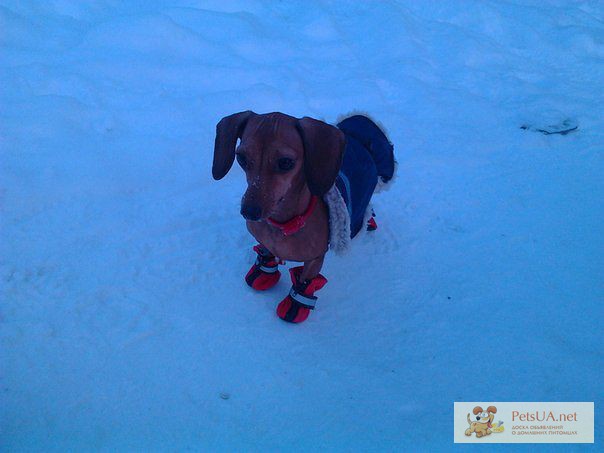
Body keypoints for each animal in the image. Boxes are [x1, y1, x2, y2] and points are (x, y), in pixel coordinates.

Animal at [214, 110, 396, 322]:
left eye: (285, 162)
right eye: (241, 158)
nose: (249, 212)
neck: (285, 225)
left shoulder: (315, 259)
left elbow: (304, 282)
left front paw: (294, 306)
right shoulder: (265, 241)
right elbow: (265, 253)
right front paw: (263, 273)